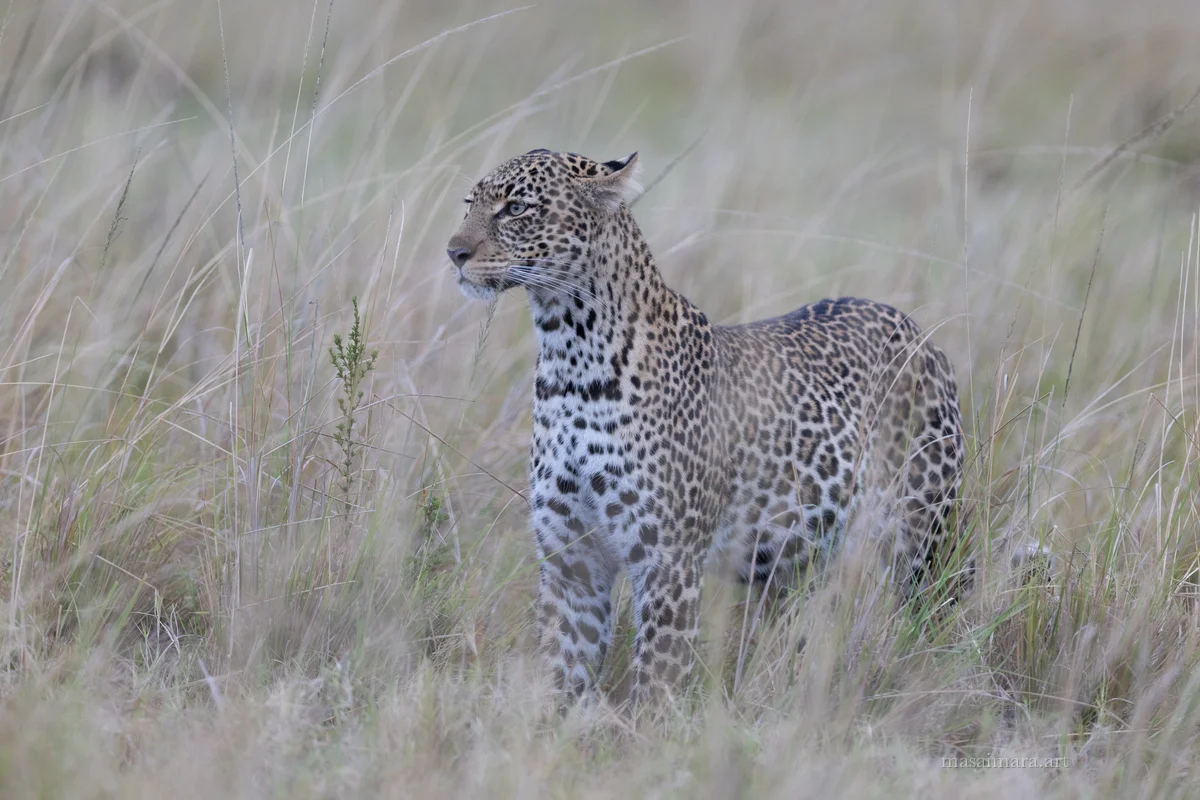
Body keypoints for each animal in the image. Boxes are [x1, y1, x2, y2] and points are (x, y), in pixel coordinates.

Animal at [446, 148, 970, 712]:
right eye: (470, 203)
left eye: (516, 208)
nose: (453, 252)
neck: (570, 361)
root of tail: (916, 331)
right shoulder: (571, 561)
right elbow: (561, 672)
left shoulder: (668, 562)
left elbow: (656, 681)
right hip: (791, 557)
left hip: (919, 537)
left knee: (930, 616)